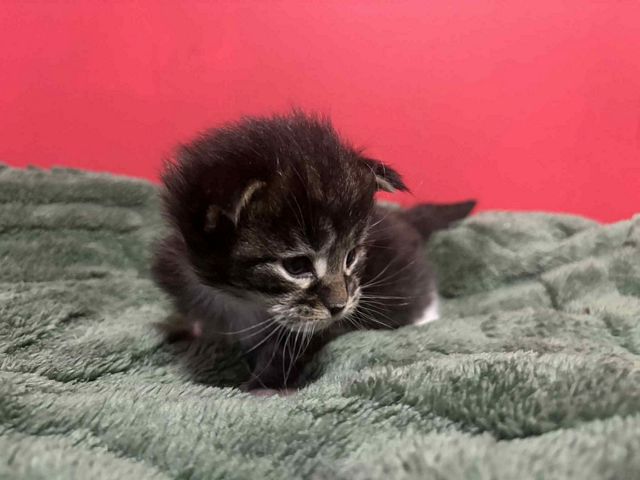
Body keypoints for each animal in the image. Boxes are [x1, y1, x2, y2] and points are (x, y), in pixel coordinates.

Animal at [151, 112, 475, 391]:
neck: (238, 299)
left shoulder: (314, 329)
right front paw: (180, 328)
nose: (339, 307)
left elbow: (285, 354)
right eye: (296, 266)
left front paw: (258, 387)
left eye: (350, 257)